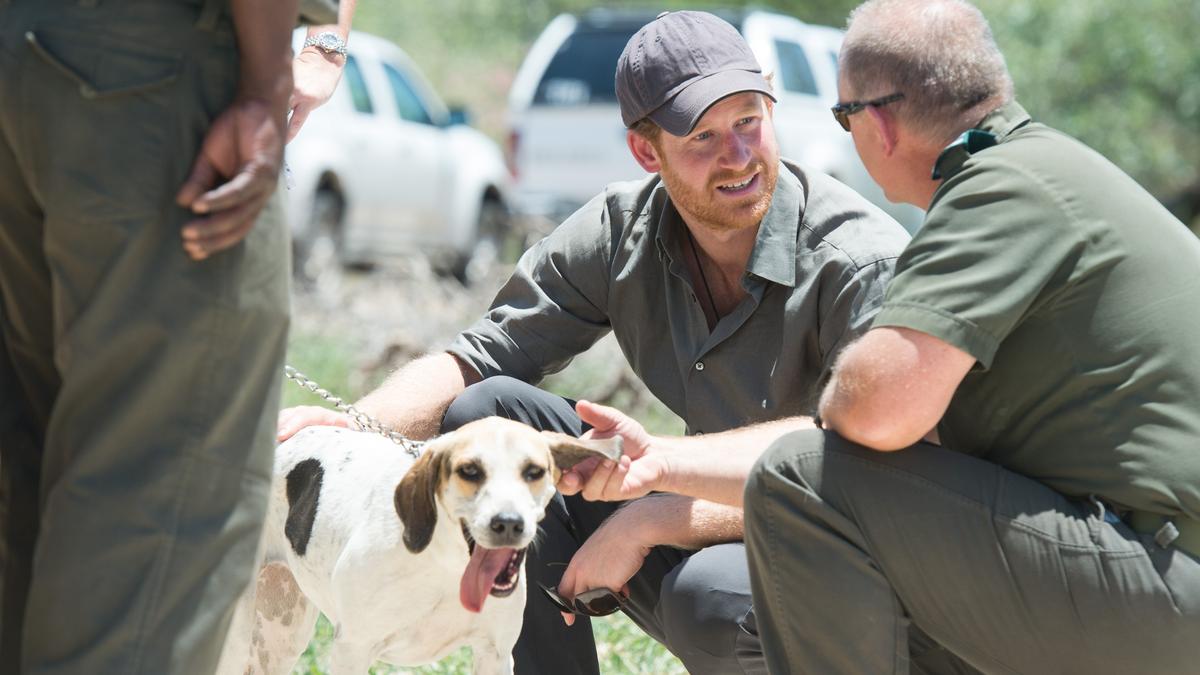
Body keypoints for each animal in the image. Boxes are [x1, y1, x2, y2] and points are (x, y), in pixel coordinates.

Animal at [214, 415, 619, 672]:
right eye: (470, 471)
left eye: (534, 472)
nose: (508, 523)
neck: (446, 567)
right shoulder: (352, 650)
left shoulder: (495, 654)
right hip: (240, 641)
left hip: (280, 637)